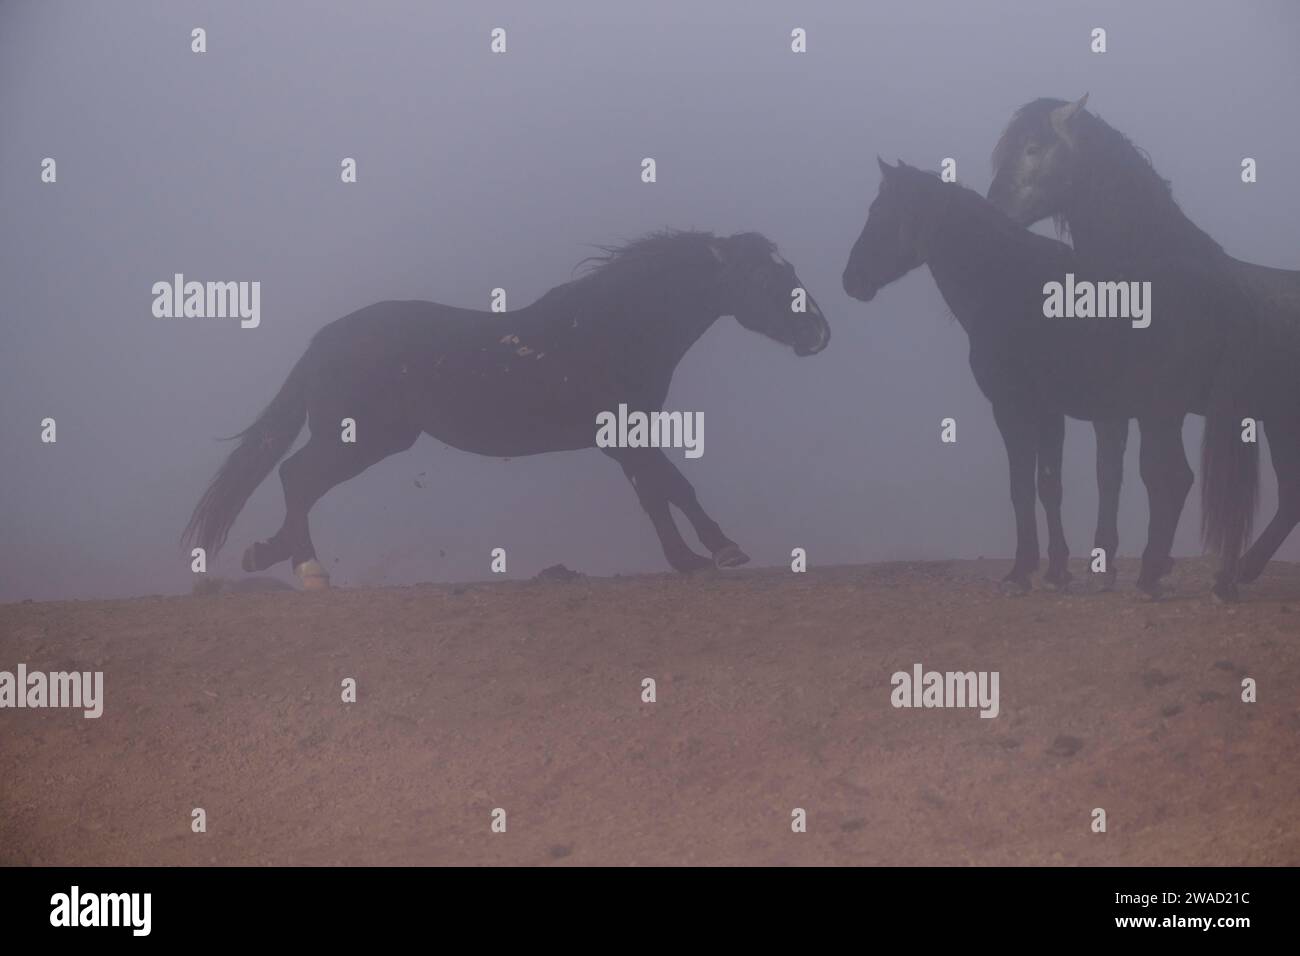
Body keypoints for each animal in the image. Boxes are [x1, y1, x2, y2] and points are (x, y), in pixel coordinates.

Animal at [184, 230, 830, 588]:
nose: (819, 334)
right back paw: (309, 571)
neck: (612, 330)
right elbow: (673, 486)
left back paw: (264, 554)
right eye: (761, 277)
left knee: (300, 483)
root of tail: (324, 341)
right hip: (361, 438)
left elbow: (656, 494)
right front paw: (720, 550)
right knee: (297, 477)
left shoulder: (625, 438)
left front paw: (689, 559)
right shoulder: (625, 433)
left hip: (374, 441)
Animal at [842, 159, 1252, 599]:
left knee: (1173, 479)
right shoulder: (1049, 413)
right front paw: (1057, 570)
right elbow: (1049, 486)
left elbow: (1021, 486)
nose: (851, 279)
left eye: (879, 213)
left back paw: (1151, 574)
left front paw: (1020, 572)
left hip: (1160, 414)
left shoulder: (1011, 408)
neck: (1009, 285)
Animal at [989, 96, 1300, 600]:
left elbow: (1156, 474)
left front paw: (1143, 569)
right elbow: (1110, 473)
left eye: (1034, 147)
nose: (993, 210)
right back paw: (1236, 573)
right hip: (1279, 419)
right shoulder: (1114, 404)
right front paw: (1106, 565)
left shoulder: (1153, 406)